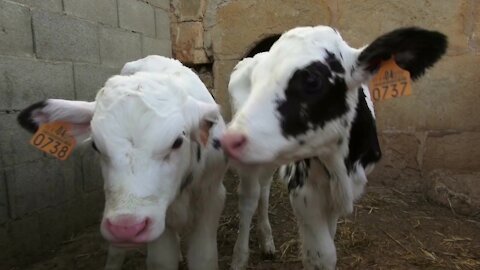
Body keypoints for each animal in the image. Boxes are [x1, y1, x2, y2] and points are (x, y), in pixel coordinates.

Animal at [17, 55, 228, 270]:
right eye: (95, 145)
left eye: (177, 142)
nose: (126, 228)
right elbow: (161, 260)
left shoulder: (212, 195)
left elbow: (204, 257)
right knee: (116, 250)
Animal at [223, 25, 448, 270]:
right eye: (257, 79)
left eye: (312, 80)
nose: (229, 139)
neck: (340, 166)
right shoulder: (304, 192)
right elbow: (323, 254)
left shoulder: (337, 196)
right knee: (249, 198)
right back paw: (239, 257)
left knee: (264, 186)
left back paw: (267, 241)